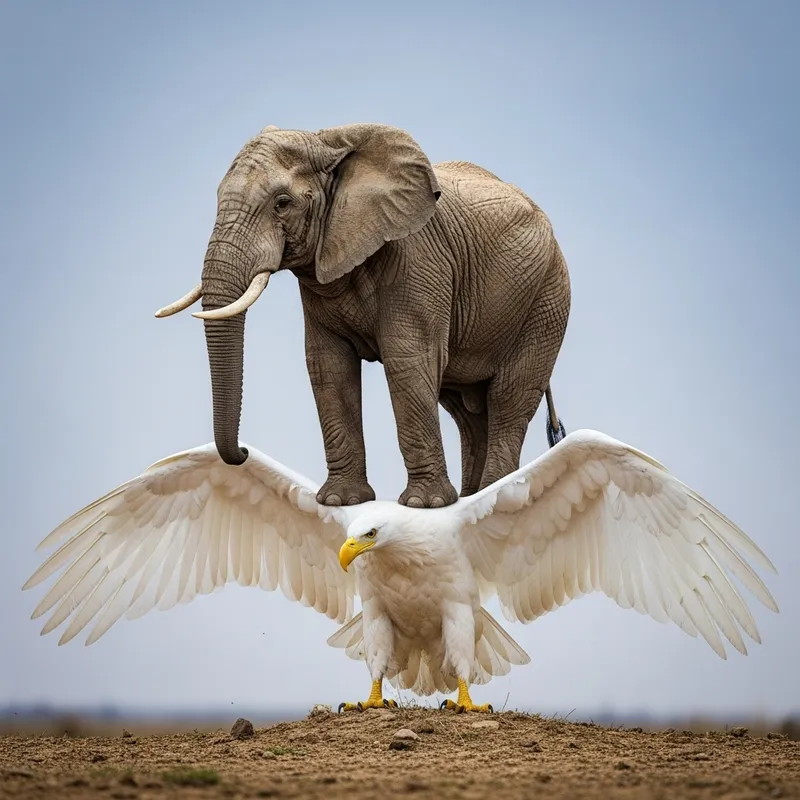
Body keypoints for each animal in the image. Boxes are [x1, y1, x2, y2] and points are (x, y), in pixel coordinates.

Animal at [155, 123, 571, 509]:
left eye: (282, 203)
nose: (242, 453)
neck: (328, 142)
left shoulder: (417, 258)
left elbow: (408, 360)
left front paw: (424, 505)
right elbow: (328, 365)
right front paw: (341, 501)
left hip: (547, 298)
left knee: (508, 398)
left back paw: (492, 497)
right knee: (467, 411)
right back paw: (471, 500)